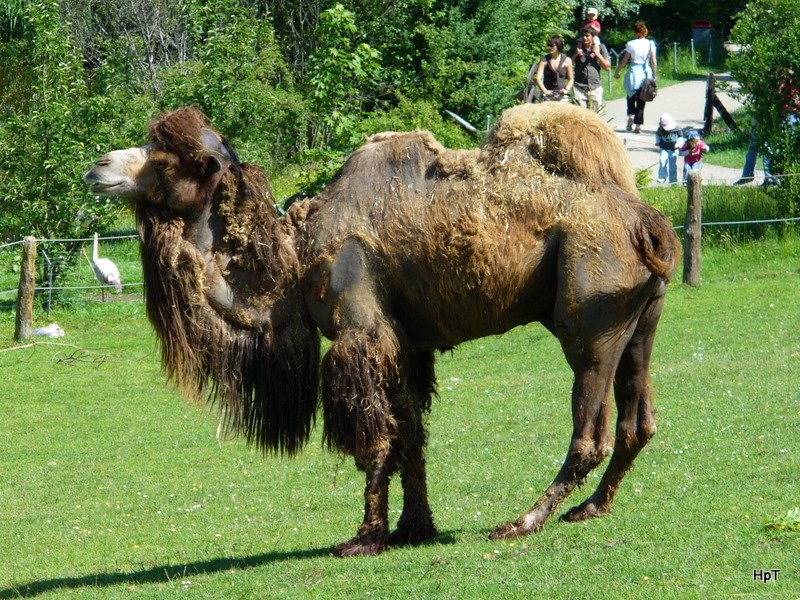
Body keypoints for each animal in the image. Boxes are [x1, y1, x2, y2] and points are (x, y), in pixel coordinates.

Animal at [84, 102, 680, 556]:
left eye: (167, 158)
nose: (97, 166)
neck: (295, 262)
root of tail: (645, 219)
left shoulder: (360, 333)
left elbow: (373, 439)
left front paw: (365, 537)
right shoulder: (407, 346)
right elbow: (411, 435)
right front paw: (415, 528)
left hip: (587, 318)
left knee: (590, 431)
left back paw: (524, 520)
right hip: (641, 321)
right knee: (639, 421)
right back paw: (590, 508)